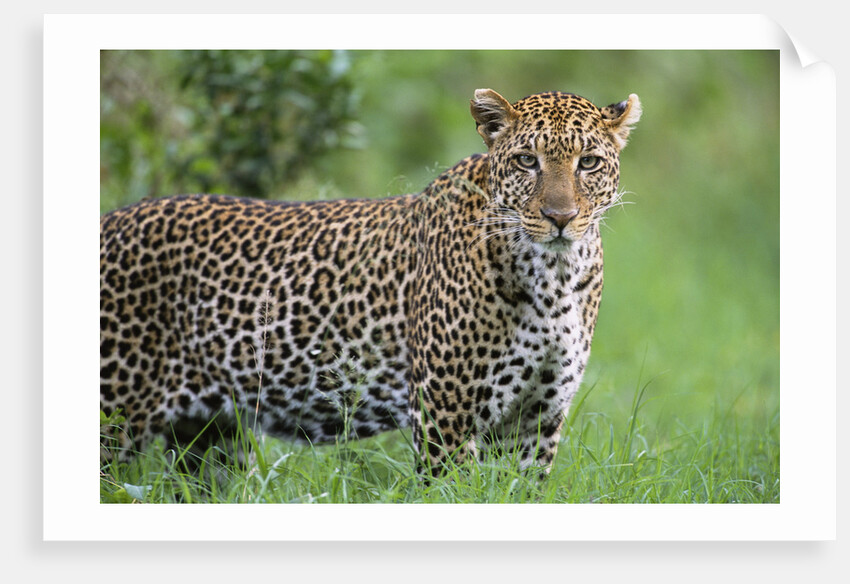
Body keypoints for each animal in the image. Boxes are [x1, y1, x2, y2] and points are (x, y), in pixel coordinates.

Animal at [100, 88, 642, 475]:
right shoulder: (446, 414)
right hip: (116, 419)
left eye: (589, 163)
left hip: (210, 439)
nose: (560, 218)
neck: (554, 279)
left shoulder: (537, 419)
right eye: (527, 161)